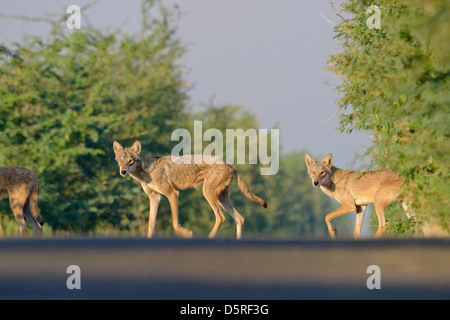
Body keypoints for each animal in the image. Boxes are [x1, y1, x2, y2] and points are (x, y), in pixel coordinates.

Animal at [113, 140, 268, 238]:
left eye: (131, 161)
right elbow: (151, 226)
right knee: (240, 219)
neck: (147, 171)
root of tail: (229, 162)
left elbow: (175, 223)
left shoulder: (172, 194)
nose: (123, 172)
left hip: (209, 194)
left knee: (221, 218)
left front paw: (188, 233)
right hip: (222, 199)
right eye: (120, 161)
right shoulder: (155, 198)